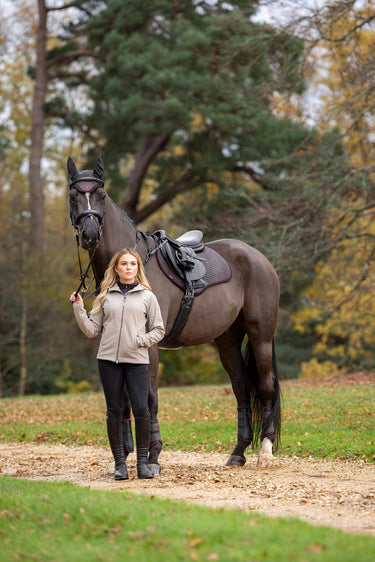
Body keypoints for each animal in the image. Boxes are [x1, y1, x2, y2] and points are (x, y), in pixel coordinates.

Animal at [67, 155, 282, 470]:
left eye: (101, 194)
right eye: (73, 196)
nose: (91, 235)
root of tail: (260, 259)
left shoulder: (149, 346)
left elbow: (149, 398)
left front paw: (152, 455)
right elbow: (126, 401)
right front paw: (127, 455)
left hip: (260, 336)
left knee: (266, 387)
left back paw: (265, 451)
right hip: (228, 341)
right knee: (242, 388)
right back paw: (238, 452)